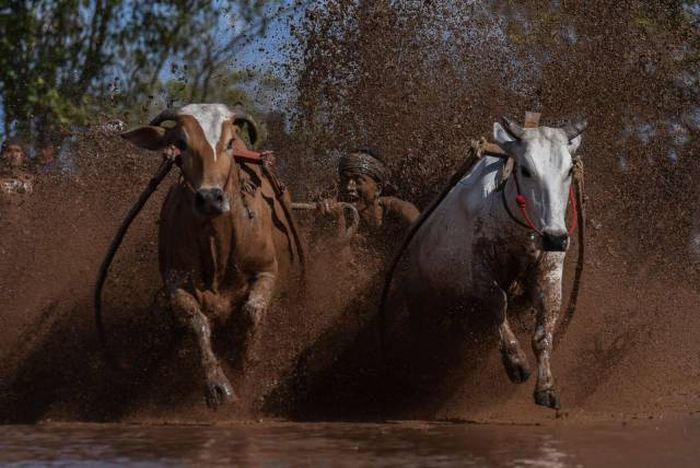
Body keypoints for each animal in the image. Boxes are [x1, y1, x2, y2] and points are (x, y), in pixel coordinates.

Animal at [123, 102, 304, 406]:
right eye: (180, 143)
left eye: (230, 142)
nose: (210, 198)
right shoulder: (175, 282)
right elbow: (197, 321)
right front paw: (218, 385)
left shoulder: (267, 270)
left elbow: (252, 311)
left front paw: (246, 362)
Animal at [386, 118, 588, 410]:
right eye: (525, 169)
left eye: (569, 170)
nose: (556, 237)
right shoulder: (479, 274)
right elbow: (498, 303)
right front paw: (516, 362)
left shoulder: (550, 275)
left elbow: (542, 335)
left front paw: (546, 388)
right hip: (420, 298)